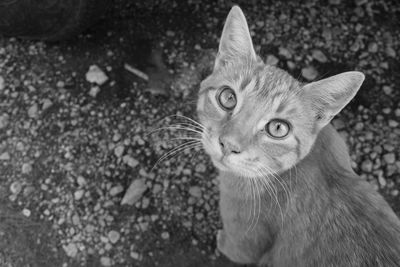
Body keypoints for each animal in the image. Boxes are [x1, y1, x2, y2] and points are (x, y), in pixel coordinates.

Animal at [195, 6, 400, 267]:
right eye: (228, 97)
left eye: (278, 128)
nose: (228, 144)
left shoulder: (242, 245)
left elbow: (232, 246)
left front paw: (218, 238)